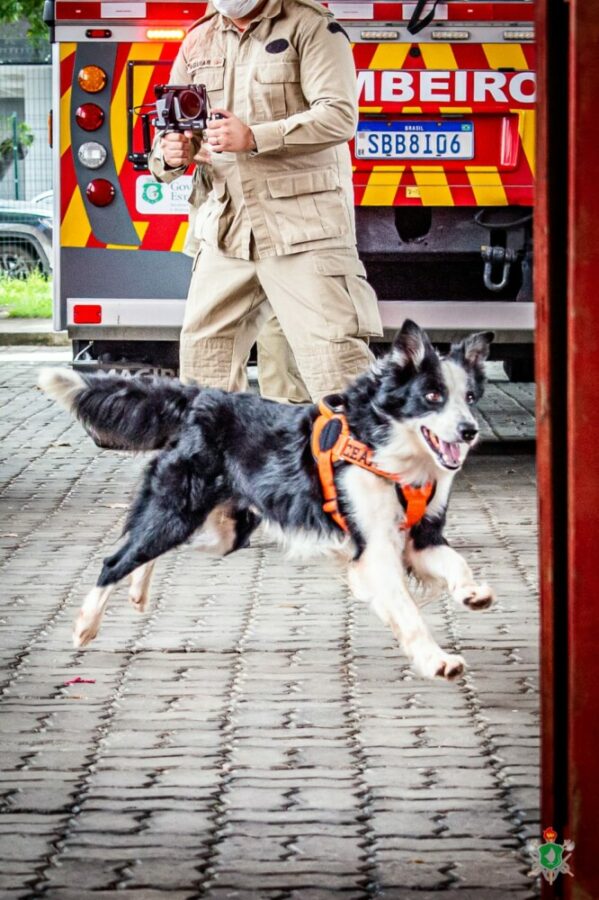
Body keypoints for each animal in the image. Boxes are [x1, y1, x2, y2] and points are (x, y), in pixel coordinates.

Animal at [39, 320, 495, 680]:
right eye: (433, 396)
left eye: (470, 398)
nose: (469, 431)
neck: (388, 450)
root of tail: (200, 398)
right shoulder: (374, 550)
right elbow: (407, 610)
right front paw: (436, 660)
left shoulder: (420, 538)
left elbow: (457, 563)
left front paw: (473, 593)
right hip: (179, 511)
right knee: (115, 560)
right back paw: (85, 625)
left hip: (221, 532)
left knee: (146, 550)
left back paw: (137, 589)